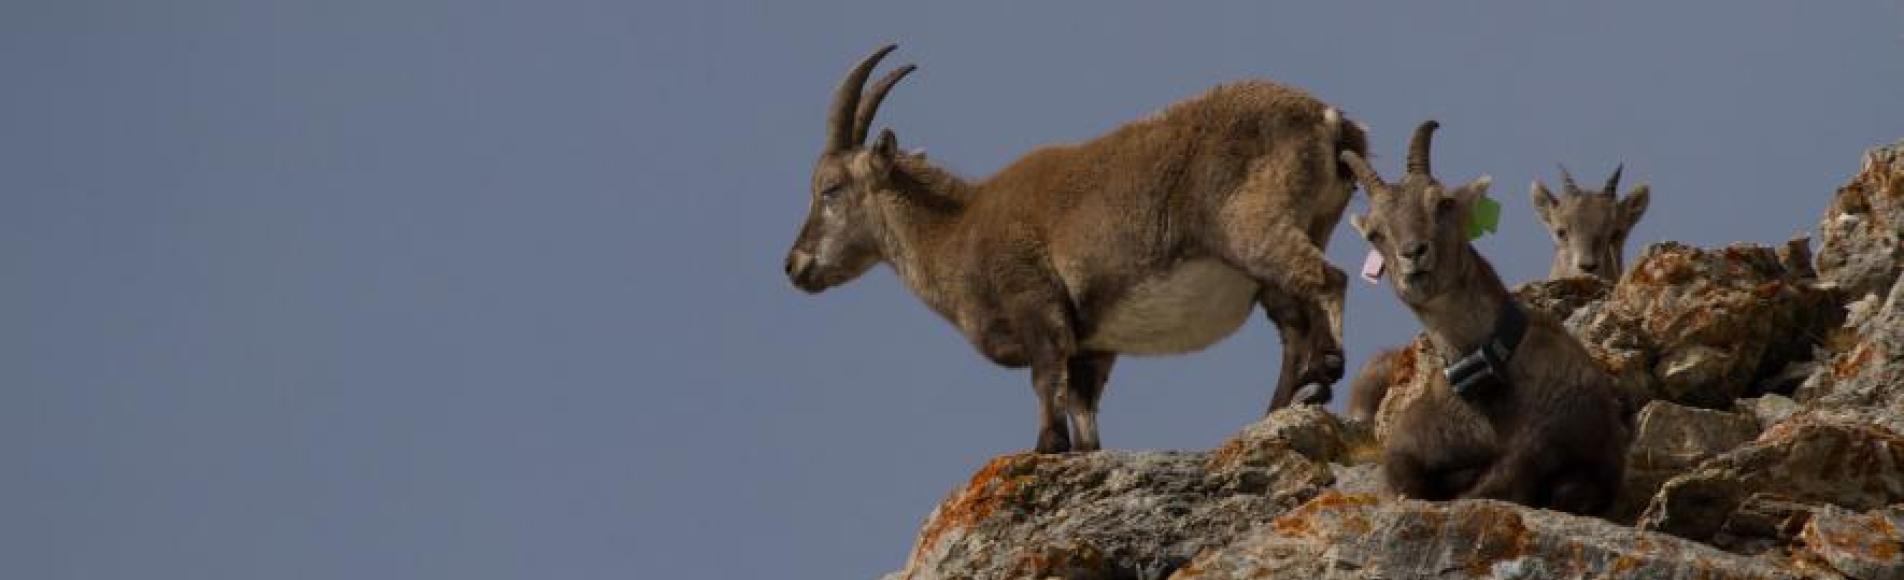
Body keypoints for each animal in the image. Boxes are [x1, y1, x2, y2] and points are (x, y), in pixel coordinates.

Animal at [788, 46, 1370, 452]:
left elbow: (1046, 378)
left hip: (1252, 227)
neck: (958, 227)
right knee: (1293, 319)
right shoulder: (1093, 343)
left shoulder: (1034, 300)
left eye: (830, 189)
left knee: (1327, 280)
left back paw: (1323, 375)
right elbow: (1084, 405)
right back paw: (1277, 406)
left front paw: (1047, 445)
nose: (795, 265)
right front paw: (1084, 450)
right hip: (1302, 232)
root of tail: (1328, 118)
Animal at [1340, 119, 1622, 513]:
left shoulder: (1562, 444)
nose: (1414, 254)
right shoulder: (1407, 445)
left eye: (1443, 202)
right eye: (1374, 233)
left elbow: (1512, 478)